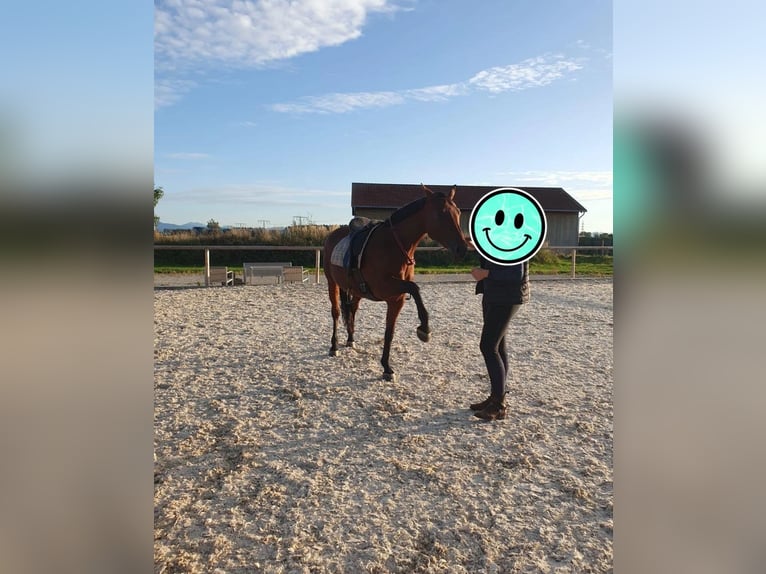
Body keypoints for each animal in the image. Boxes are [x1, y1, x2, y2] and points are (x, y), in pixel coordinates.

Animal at [323, 184, 469, 381]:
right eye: (441, 213)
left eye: (458, 212)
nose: (462, 248)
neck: (393, 245)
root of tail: (333, 235)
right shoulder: (384, 288)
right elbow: (414, 288)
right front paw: (425, 329)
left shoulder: (396, 299)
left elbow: (389, 332)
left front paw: (386, 367)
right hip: (332, 283)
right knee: (336, 313)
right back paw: (334, 346)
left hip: (357, 291)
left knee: (352, 310)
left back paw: (351, 340)